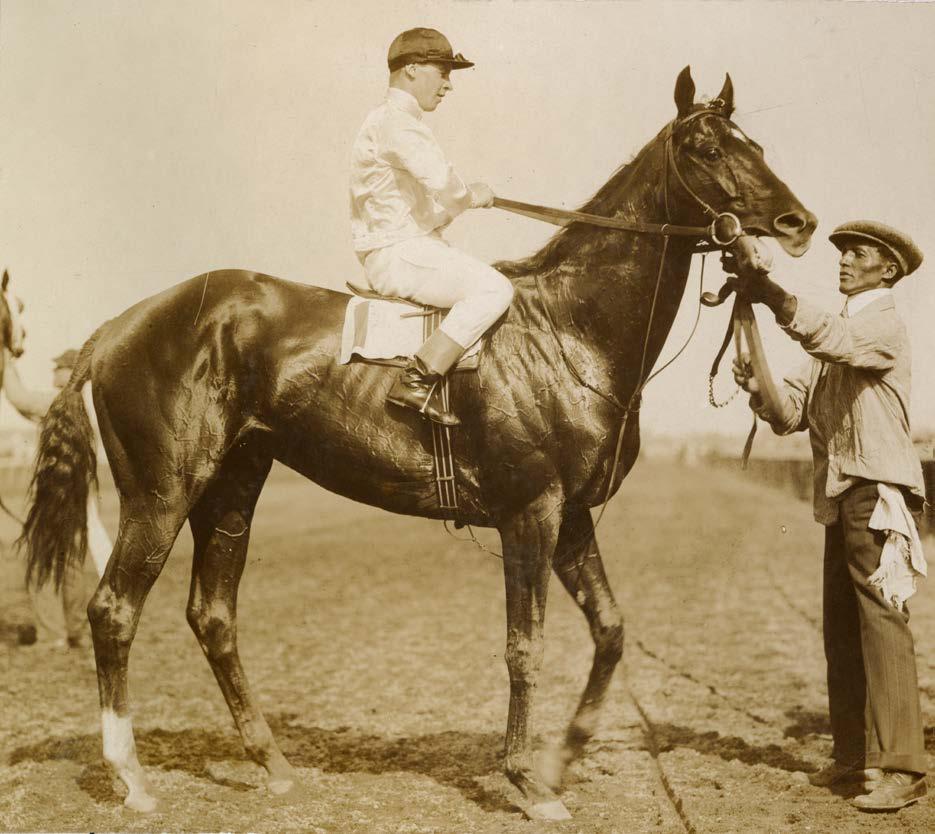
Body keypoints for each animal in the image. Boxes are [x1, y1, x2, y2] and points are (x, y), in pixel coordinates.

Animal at [21, 68, 816, 821]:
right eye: (707, 148)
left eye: (755, 145)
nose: (798, 221)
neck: (567, 328)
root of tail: (118, 327)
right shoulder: (530, 513)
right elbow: (524, 648)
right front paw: (528, 780)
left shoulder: (571, 518)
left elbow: (612, 631)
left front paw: (563, 757)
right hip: (161, 493)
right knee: (113, 610)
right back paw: (131, 777)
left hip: (232, 488)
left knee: (213, 616)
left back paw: (272, 764)